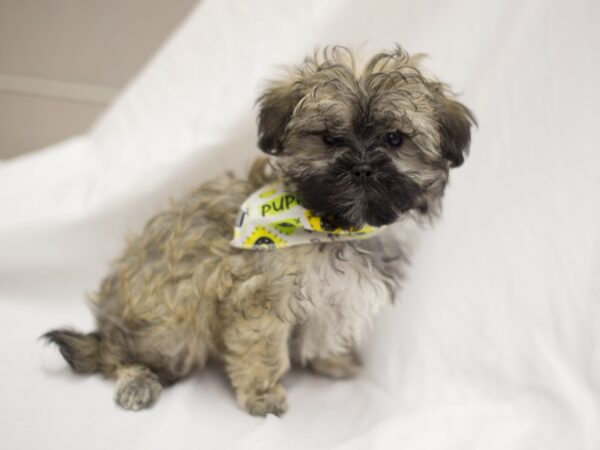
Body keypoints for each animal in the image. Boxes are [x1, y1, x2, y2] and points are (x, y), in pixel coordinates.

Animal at [44, 45, 476, 414]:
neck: (331, 227)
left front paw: (333, 362)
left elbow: (326, 328)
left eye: (395, 139)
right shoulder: (258, 298)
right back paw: (137, 380)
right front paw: (262, 394)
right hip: (172, 328)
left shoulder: (338, 296)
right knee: (117, 355)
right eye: (329, 138)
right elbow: (262, 348)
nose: (363, 167)